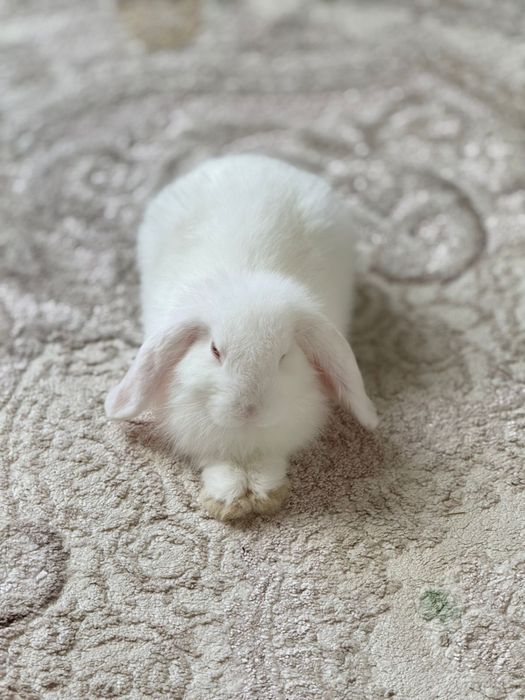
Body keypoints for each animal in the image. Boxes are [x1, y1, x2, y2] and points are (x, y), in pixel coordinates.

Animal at [105, 154, 378, 521]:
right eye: (215, 350)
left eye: (284, 356)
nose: (249, 409)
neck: (244, 436)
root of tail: (252, 159)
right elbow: (218, 464)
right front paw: (229, 499)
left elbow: (269, 462)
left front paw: (264, 493)